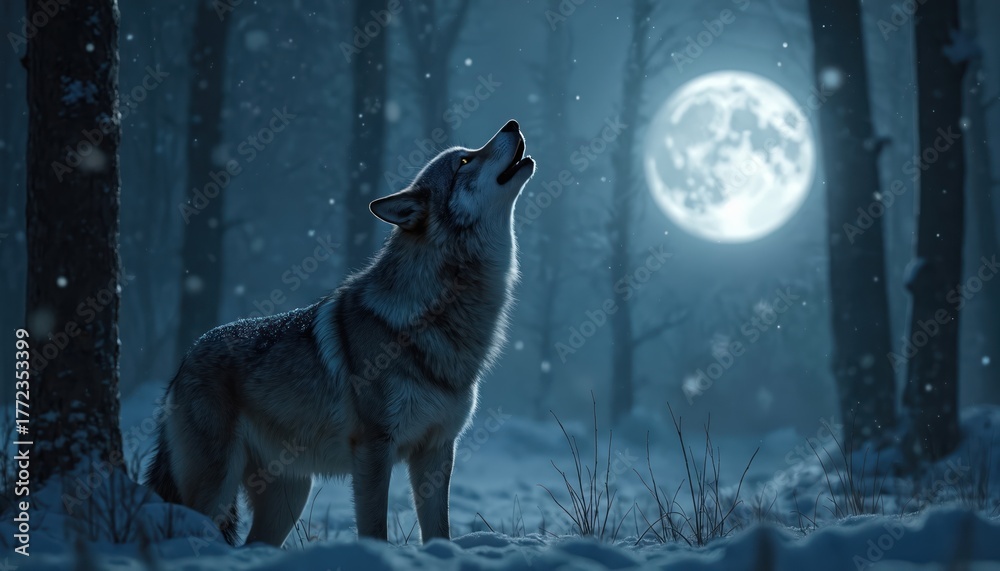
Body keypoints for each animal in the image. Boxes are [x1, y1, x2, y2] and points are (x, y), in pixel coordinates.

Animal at [144, 120, 535, 546]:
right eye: (464, 160)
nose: (512, 123)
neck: (436, 312)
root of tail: (185, 357)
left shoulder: (437, 449)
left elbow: (439, 531)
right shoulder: (374, 448)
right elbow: (375, 529)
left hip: (289, 498)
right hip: (216, 492)